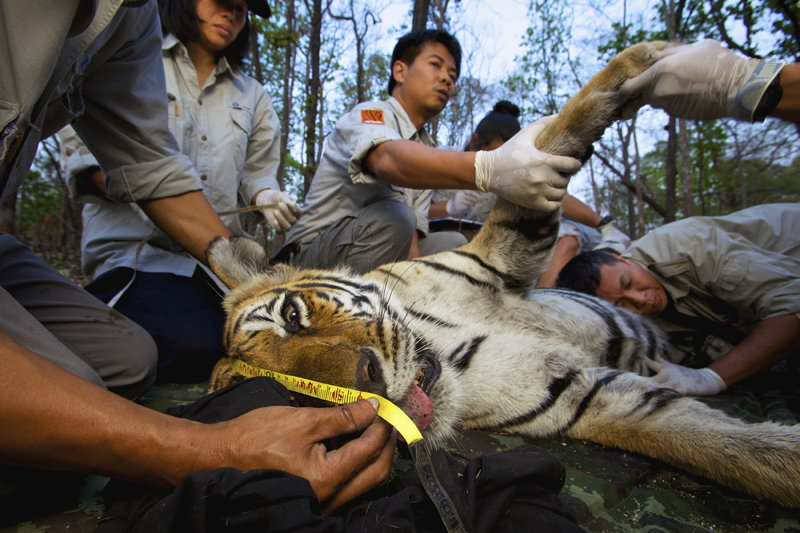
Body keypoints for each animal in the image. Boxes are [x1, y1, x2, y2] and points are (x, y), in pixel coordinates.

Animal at [203, 41, 800, 508]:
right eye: (293, 400)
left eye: (292, 315)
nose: (367, 385)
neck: (442, 338)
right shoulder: (581, 396)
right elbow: (722, 447)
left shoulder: (502, 253)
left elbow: (558, 131)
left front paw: (660, 62)